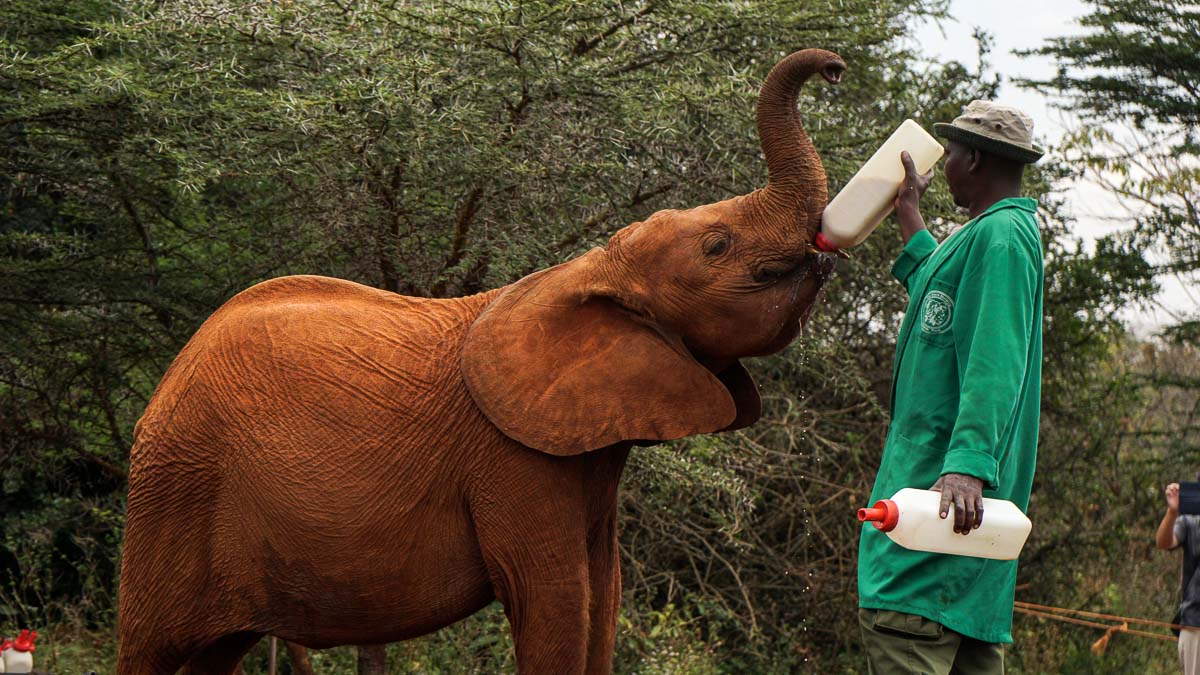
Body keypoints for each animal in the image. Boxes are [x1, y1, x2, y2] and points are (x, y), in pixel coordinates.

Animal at [114, 47, 844, 672]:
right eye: (718, 246)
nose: (835, 67)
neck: (589, 266)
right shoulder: (511, 460)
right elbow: (555, 602)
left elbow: (603, 601)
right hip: (174, 490)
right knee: (149, 648)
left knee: (215, 654)